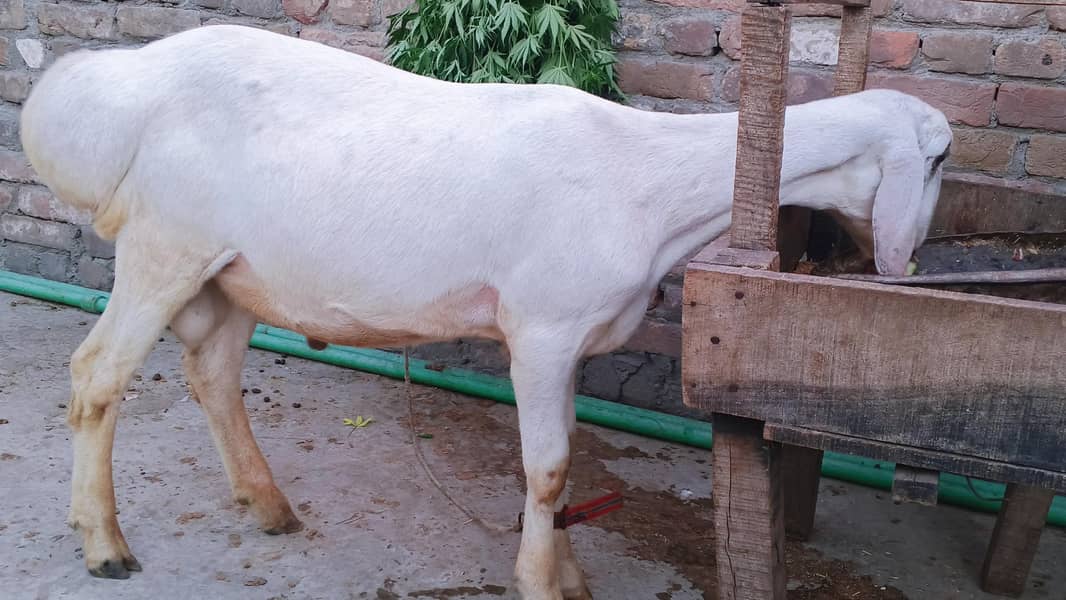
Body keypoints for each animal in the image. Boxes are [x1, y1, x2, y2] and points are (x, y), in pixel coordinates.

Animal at [20, 23, 952, 600]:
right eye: (938, 159)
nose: (912, 259)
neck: (648, 182)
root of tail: (113, 84)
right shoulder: (541, 330)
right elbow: (548, 469)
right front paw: (541, 580)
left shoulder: (571, 343)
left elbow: (566, 457)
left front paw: (568, 571)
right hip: (163, 246)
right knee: (95, 375)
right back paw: (104, 543)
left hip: (232, 271)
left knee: (211, 372)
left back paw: (268, 504)